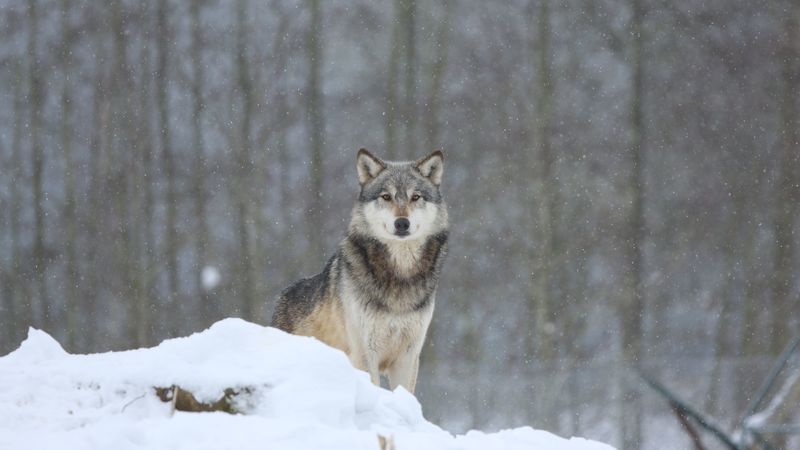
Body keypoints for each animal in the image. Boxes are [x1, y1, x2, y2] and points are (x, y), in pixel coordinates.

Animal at [271, 149, 448, 393]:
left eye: (415, 197)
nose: (402, 223)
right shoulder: (365, 353)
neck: (399, 274)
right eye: (386, 196)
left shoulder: (408, 357)